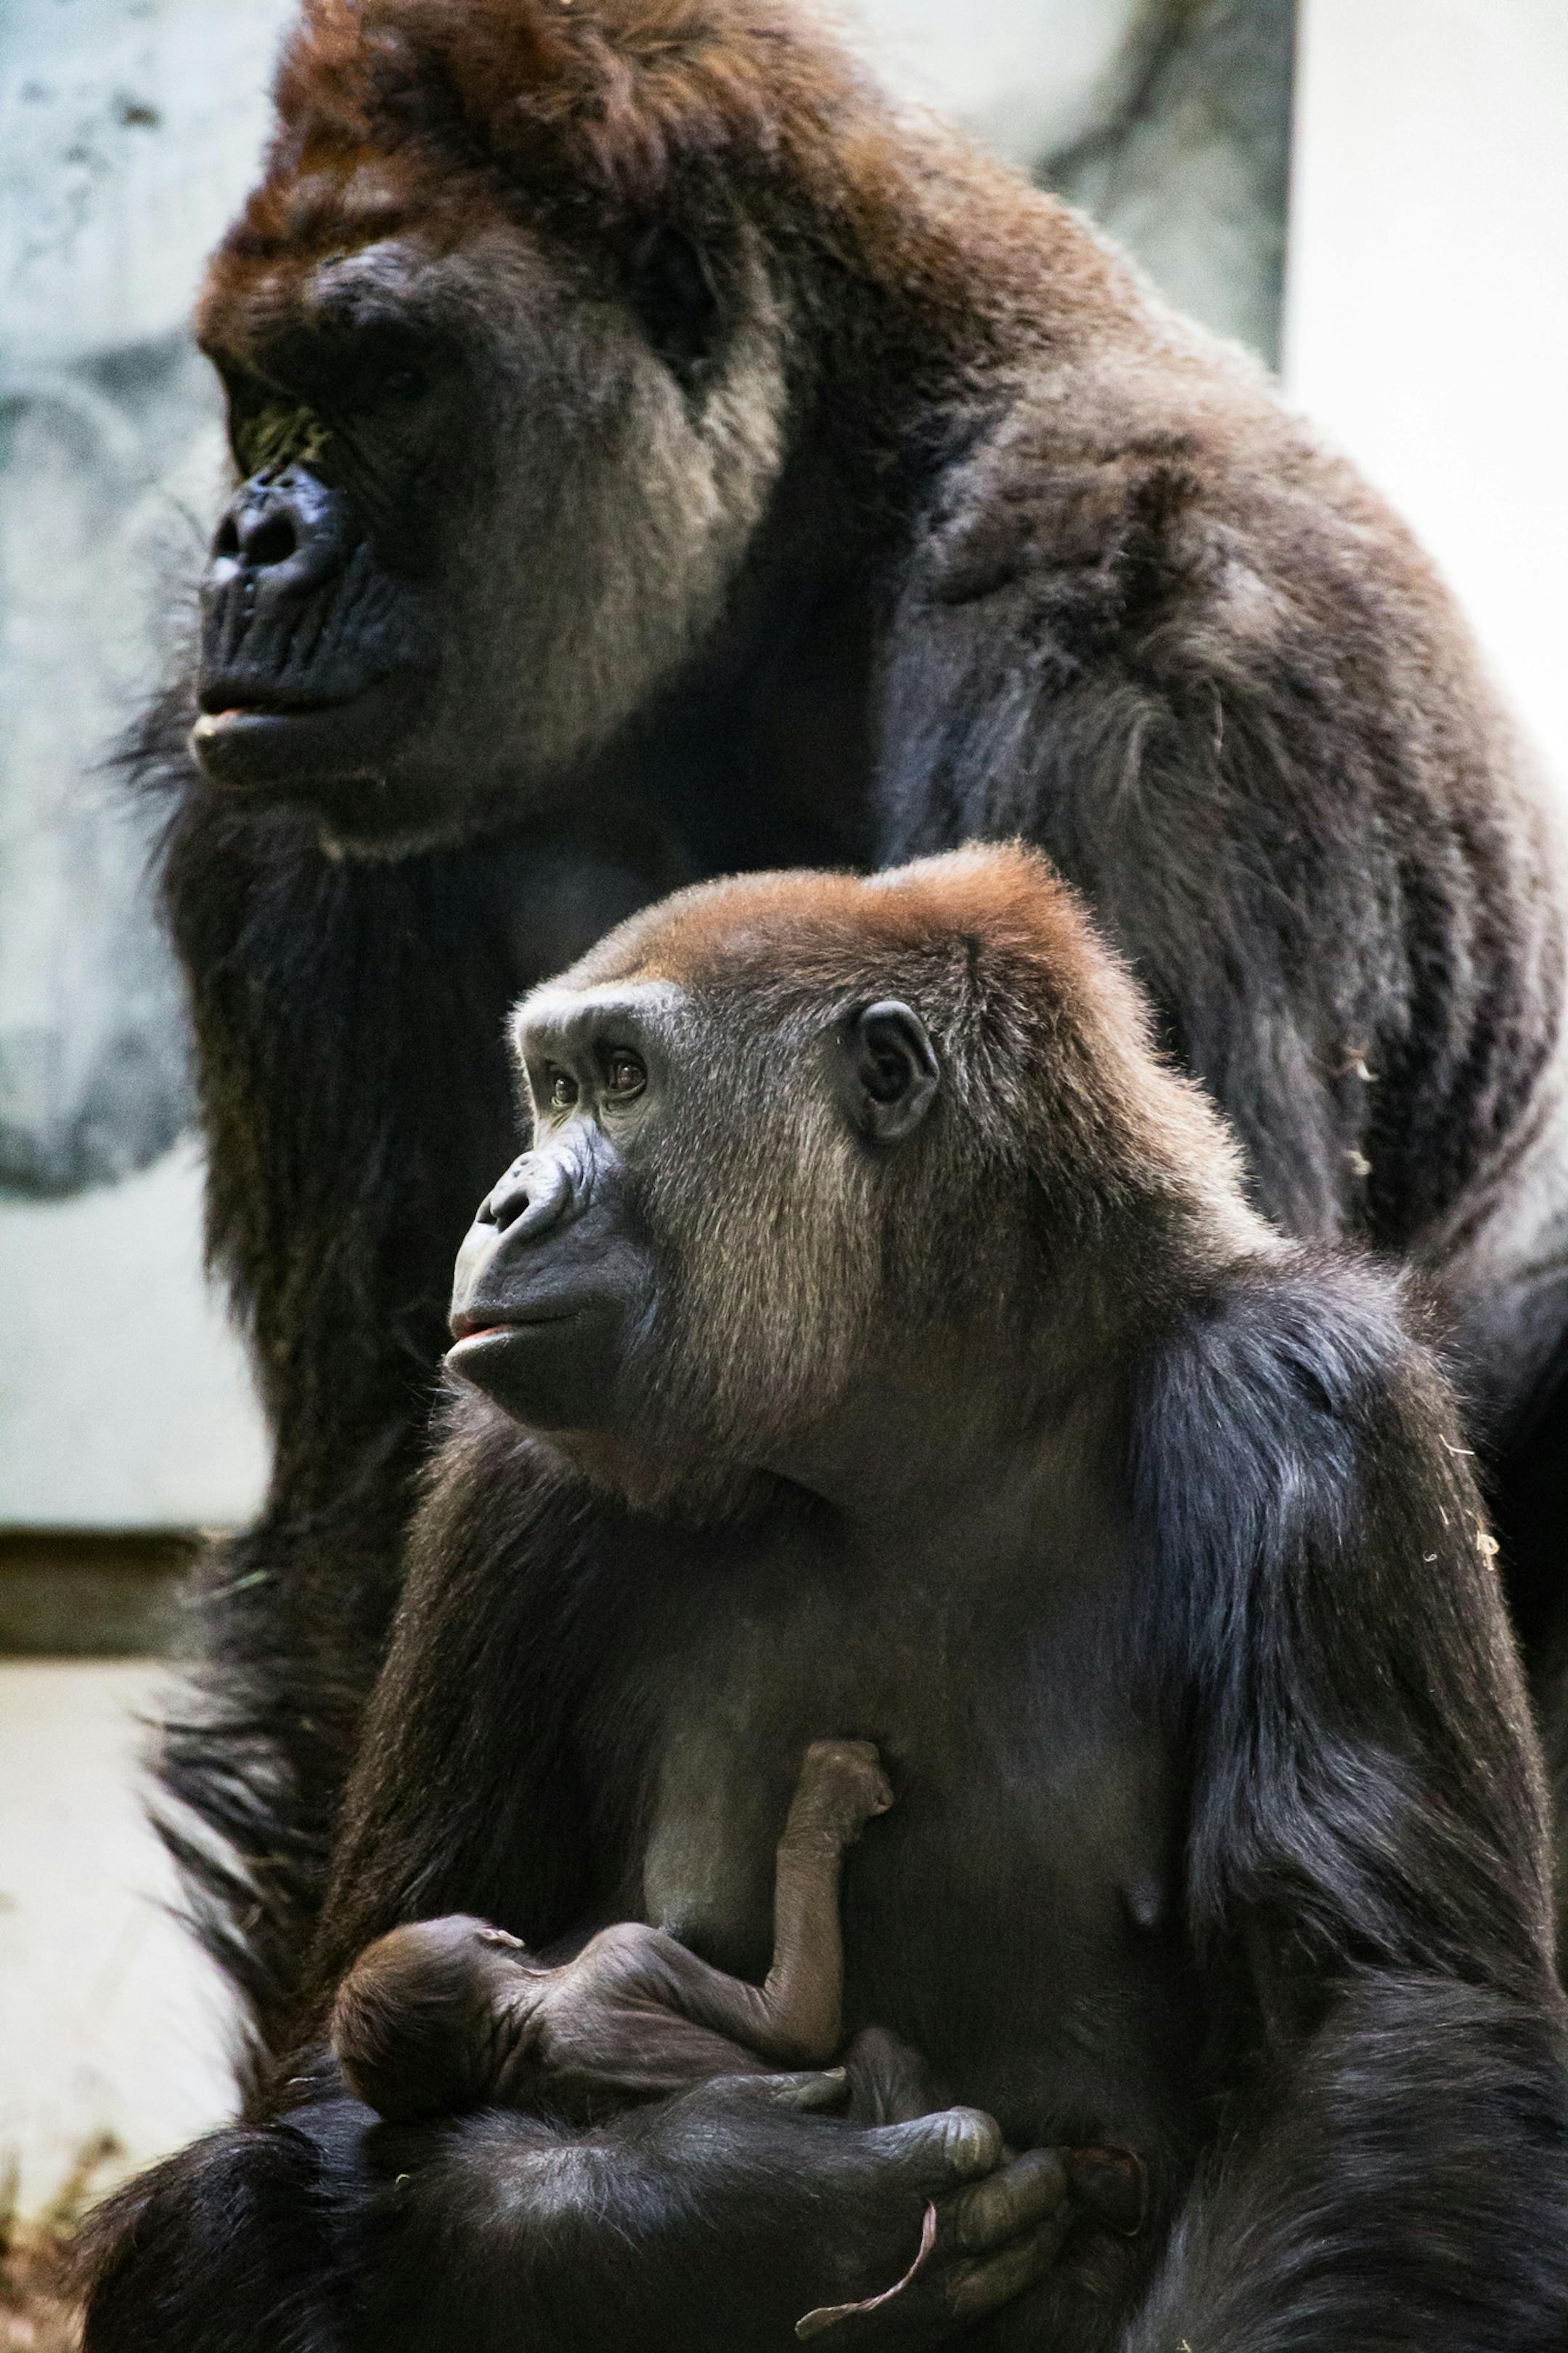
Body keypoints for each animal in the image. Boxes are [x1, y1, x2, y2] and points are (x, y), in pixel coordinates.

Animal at [81, 844, 1568, 2352]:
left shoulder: (1311, 1394)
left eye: (620, 1077)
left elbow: (1368, 2032)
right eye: (552, 1087)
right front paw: (733, 2208)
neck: (926, 1413)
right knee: (236, 2210)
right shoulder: (516, 1486)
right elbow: (348, 2052)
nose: (503, 1203)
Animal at [134, 0, 1568, 2063]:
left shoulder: (1138, 616)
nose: (252, 542)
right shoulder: (270, 811)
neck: (819, 495)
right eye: (264, 389)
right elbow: (373, 1538)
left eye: (388, 376)